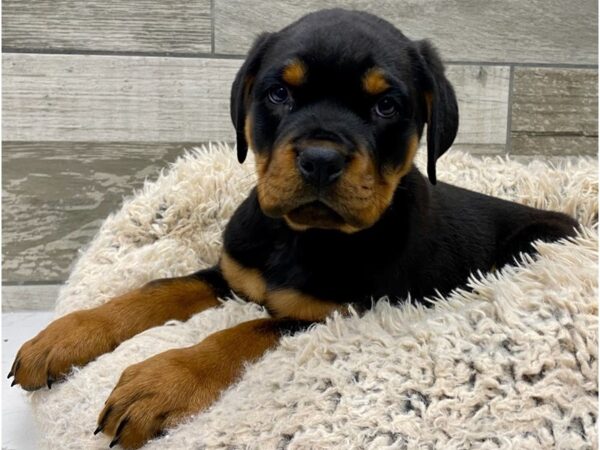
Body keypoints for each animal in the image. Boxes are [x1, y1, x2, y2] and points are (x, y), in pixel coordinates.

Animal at [11, 8, 580, 448]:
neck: (297, 236)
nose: (321, 159)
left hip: (532, 243)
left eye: (386, 105)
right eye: (279, 94)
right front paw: (65, 335)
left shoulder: (328, 315)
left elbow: (241, 333)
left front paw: (160, 381)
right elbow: (157, 288)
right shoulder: (231, 272)